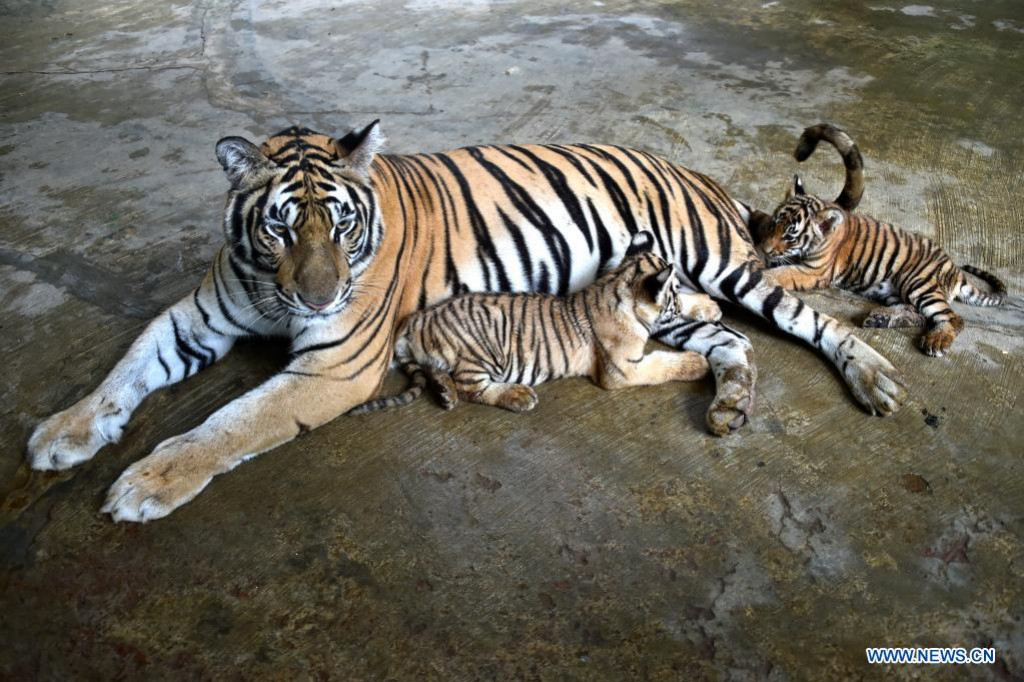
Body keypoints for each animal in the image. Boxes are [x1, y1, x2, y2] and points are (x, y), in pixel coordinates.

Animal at [25, 122, 905, 520]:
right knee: (724, 335)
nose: (317, 298)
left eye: (339, 225)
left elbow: (230, 423)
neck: (272, 290)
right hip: (662, 304)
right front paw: (64, 431)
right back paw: (727, 405)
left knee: (804, 321)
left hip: (722, 266)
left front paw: (148, 481)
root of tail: (701, 174)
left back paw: (875, 379)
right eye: (279, 228)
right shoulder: (198, 315)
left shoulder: (332, 367)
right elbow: (126, 368)